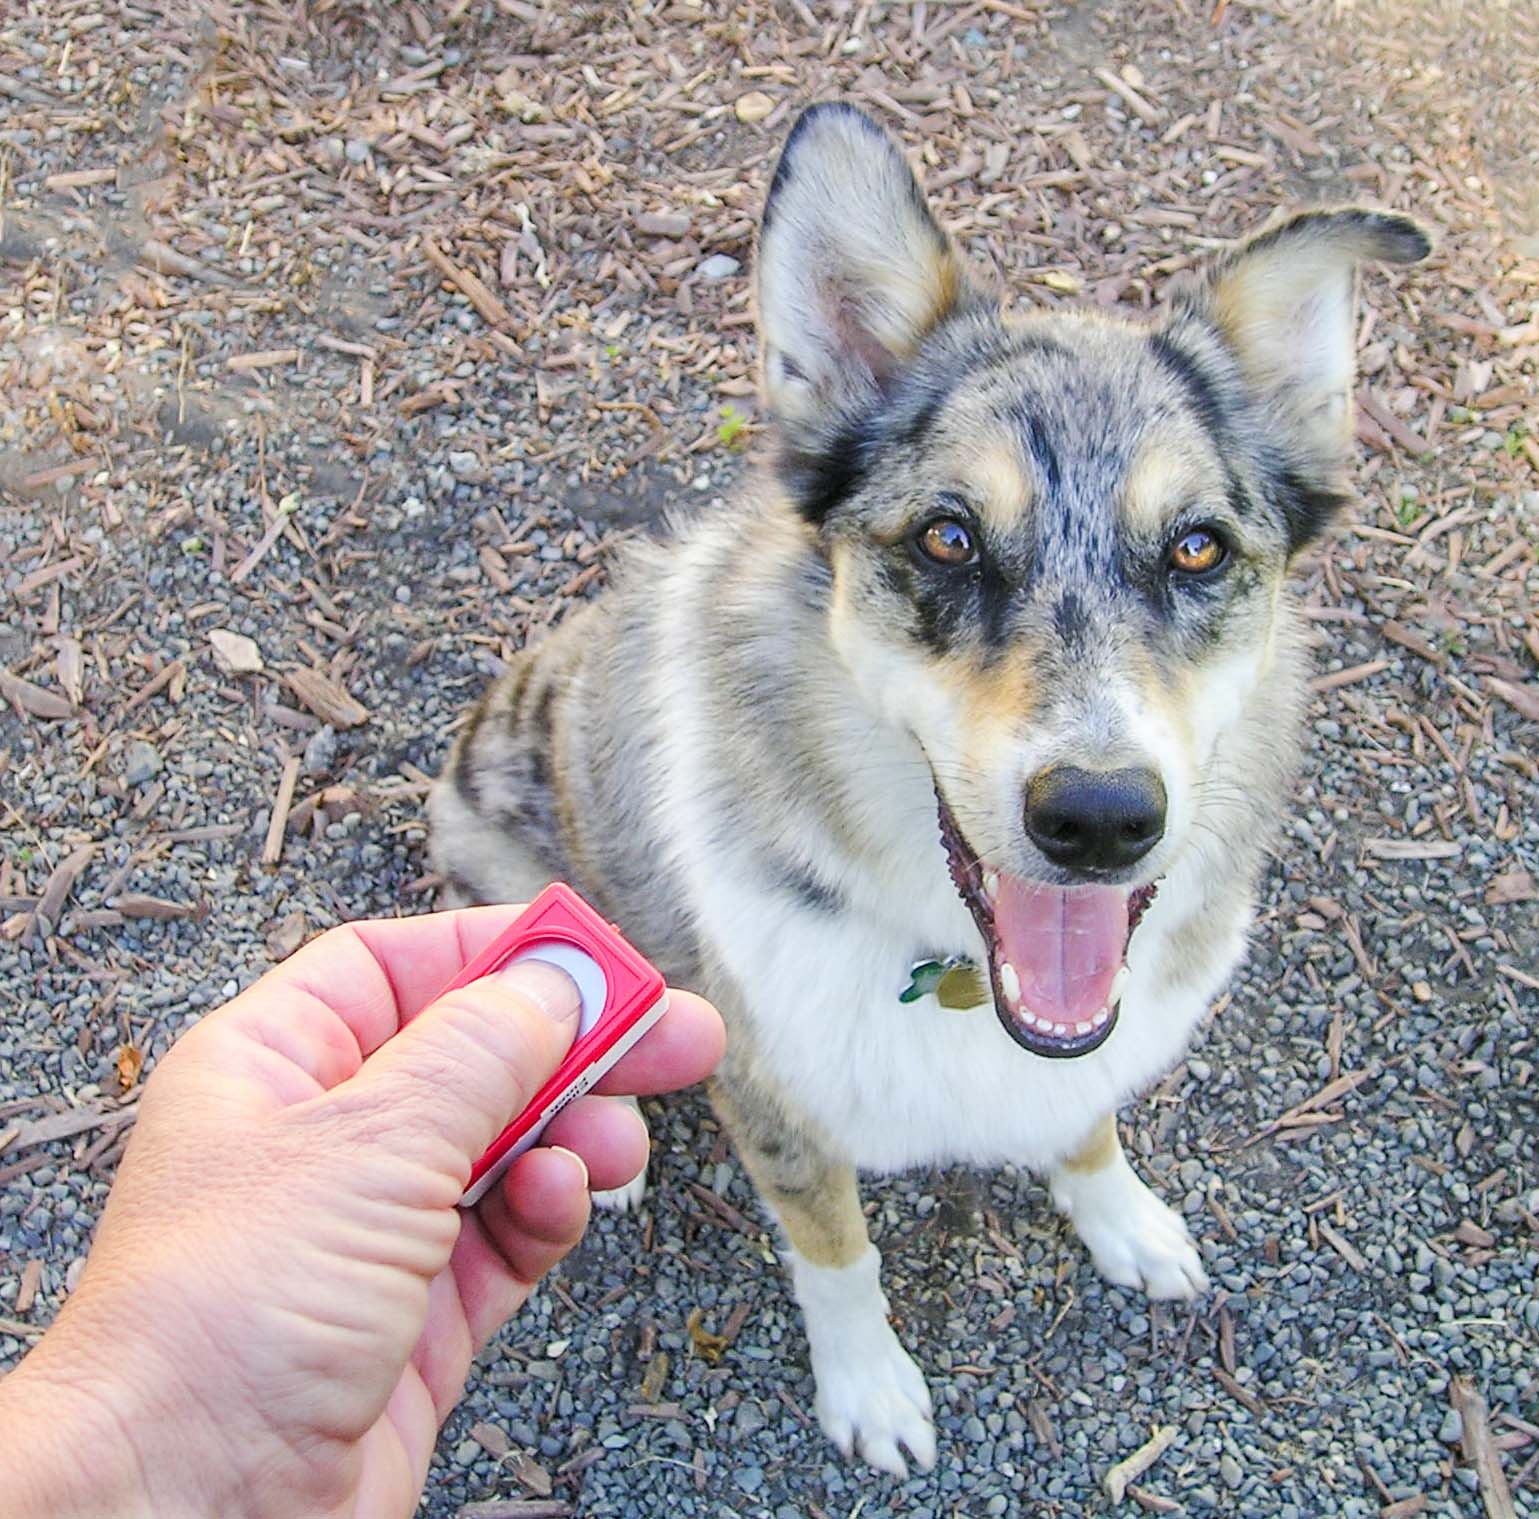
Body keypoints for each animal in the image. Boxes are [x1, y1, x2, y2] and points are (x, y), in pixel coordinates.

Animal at [424, 103, 1428, 1471]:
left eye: (1197, 549)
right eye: (948, 537)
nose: (1100, 819)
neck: (956, 974)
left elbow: (1088, 1120)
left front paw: (1125, 1220)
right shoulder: (775, 1097)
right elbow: (836, 1251)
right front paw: (871, 1388)